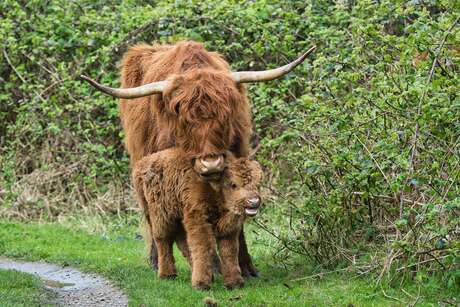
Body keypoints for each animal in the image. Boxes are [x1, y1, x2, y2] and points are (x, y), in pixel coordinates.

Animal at [132, 148, 262, 290]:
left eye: (258, 184)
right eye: (233, 185)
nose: (253, 201)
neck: (214, 188)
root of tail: (142, 163)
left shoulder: (229, 228)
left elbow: (229, 251)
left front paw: (235, 283)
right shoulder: (198, 220)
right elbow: (203, 246)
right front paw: (201, 284)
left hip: (178, 218)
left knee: (182, 242)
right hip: (160, 216)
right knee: (163, 240)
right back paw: (167, 274)